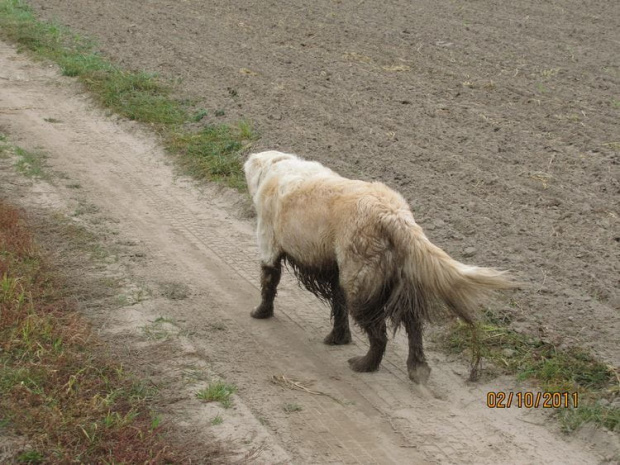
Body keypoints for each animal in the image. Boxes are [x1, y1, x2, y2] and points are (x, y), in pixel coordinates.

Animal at [245, 150, 516, 382]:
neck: (276, 166)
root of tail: (392, 214)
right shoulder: (336, 273)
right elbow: (338, 307)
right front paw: (338, 337)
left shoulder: (269, 243)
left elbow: (269, 282)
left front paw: (261, 312)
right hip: (386, 280)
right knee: (413, 325)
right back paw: (417, 367)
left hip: (361, 285)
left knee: (380, 335)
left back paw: (364, 364)